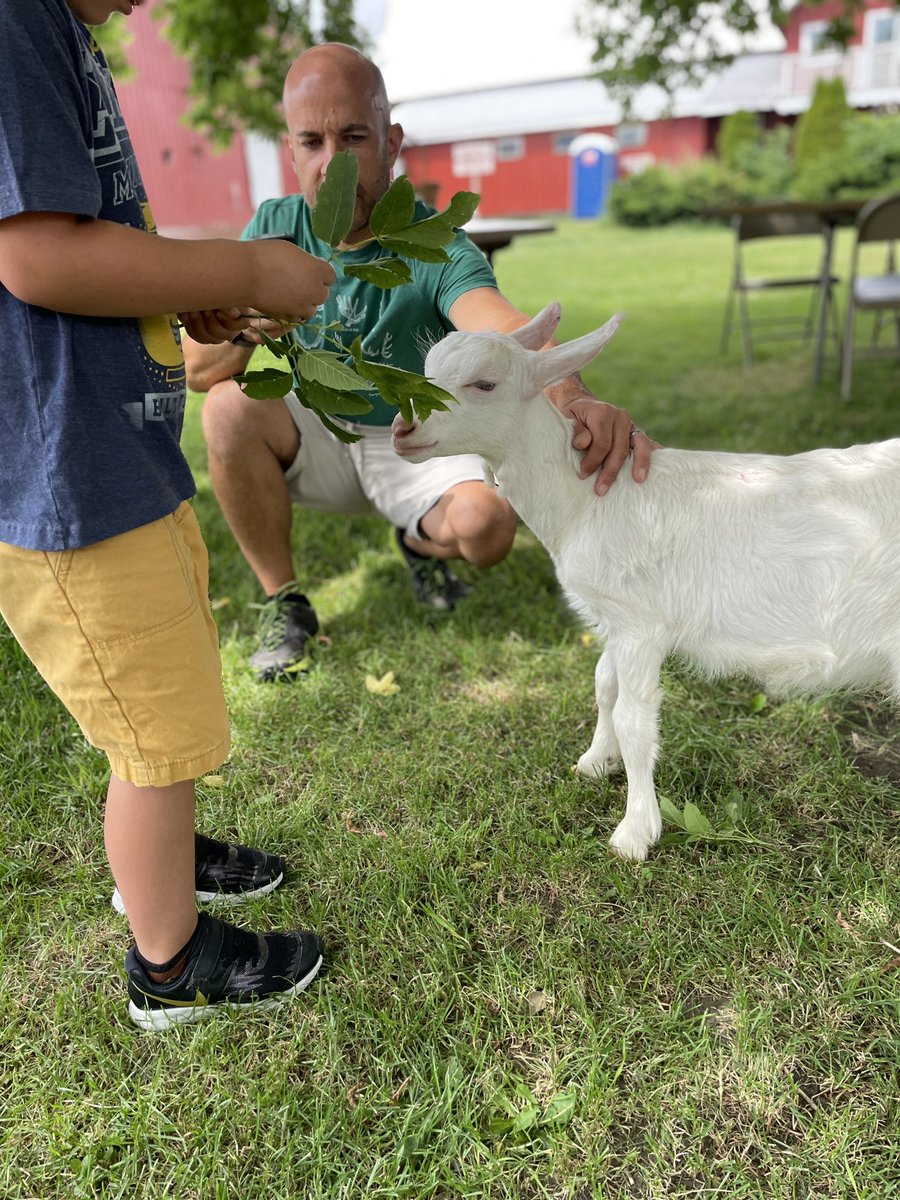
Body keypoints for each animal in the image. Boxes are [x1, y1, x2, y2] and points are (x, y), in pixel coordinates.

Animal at [391, 303, 900, 860]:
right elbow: (603, 686)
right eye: (427, 368)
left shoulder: (640, 625)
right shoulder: (614, 619)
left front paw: (634, 832)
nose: (401, 429)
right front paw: (595, 761)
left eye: (485, 383)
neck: (586, 502)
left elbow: (634, 721)